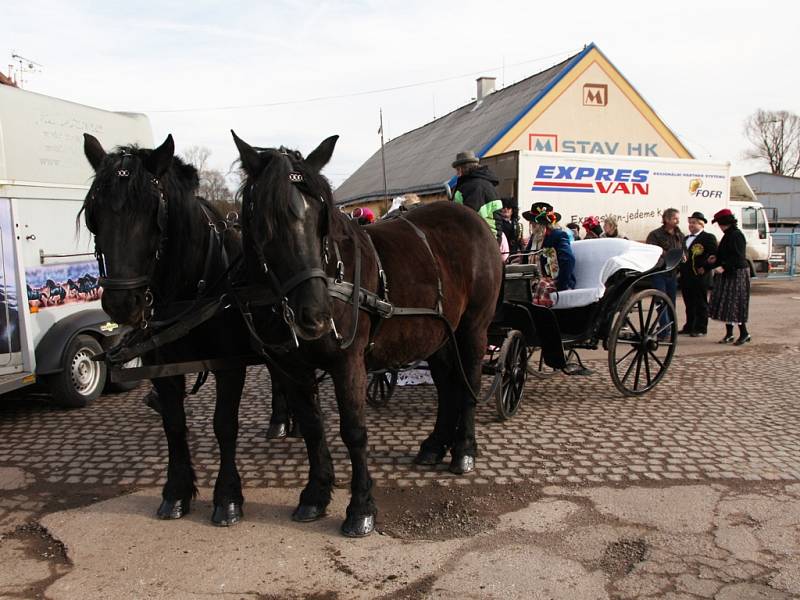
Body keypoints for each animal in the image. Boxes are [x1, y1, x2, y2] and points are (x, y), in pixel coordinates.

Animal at [82, 132, 294, 524]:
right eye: (93, 213)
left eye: (154, 213)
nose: (122, 303)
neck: (190, 286)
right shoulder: (163, 367)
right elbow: (174, 423)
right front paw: (176, 492)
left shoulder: (229, 365)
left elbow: (224, 425)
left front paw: (227, 497)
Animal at [231, 134, 504, 536]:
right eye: (265, 221)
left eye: (321, 216)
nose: (315, 316)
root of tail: (474, 221)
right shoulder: (291, 368)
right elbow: (312, 427)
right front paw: (315, 494)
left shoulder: (349, 362)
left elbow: (354, 431)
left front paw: (360, 507)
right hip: (440, 337)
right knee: (448, 388)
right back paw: (435, 445)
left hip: (473, 329)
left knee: (468, 384)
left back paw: (464, 450)